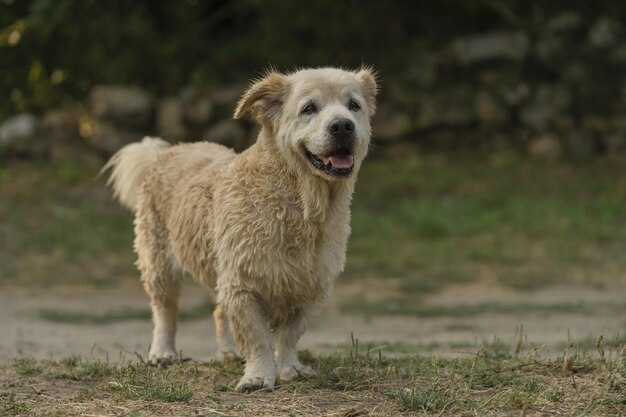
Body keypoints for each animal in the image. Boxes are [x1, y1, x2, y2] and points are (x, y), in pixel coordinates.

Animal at [103, 66, 376, 392]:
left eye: (354, 105)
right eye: (309, 108)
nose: (342, 126)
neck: (300, 205)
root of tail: (167, 151)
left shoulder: (312, 288)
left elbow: (289, 335)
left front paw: (289, 367)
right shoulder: (243, 284)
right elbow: (258, 338)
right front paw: (258, 375)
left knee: (219, 311)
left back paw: (229, 352)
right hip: (157, 261)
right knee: (164, 310)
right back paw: (162, 352)